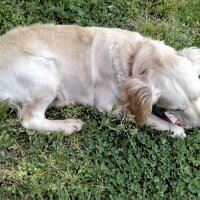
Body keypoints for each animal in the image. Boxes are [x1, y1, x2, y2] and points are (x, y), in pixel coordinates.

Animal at [0, 23, 199, 136]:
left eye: (198, 95)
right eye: (177, 109)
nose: (199, 124)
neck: (136, 56)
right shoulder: (109, 106)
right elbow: (157, 121)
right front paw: (178, 130)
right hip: (46, 72)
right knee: (30, 119)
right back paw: (68, 125)